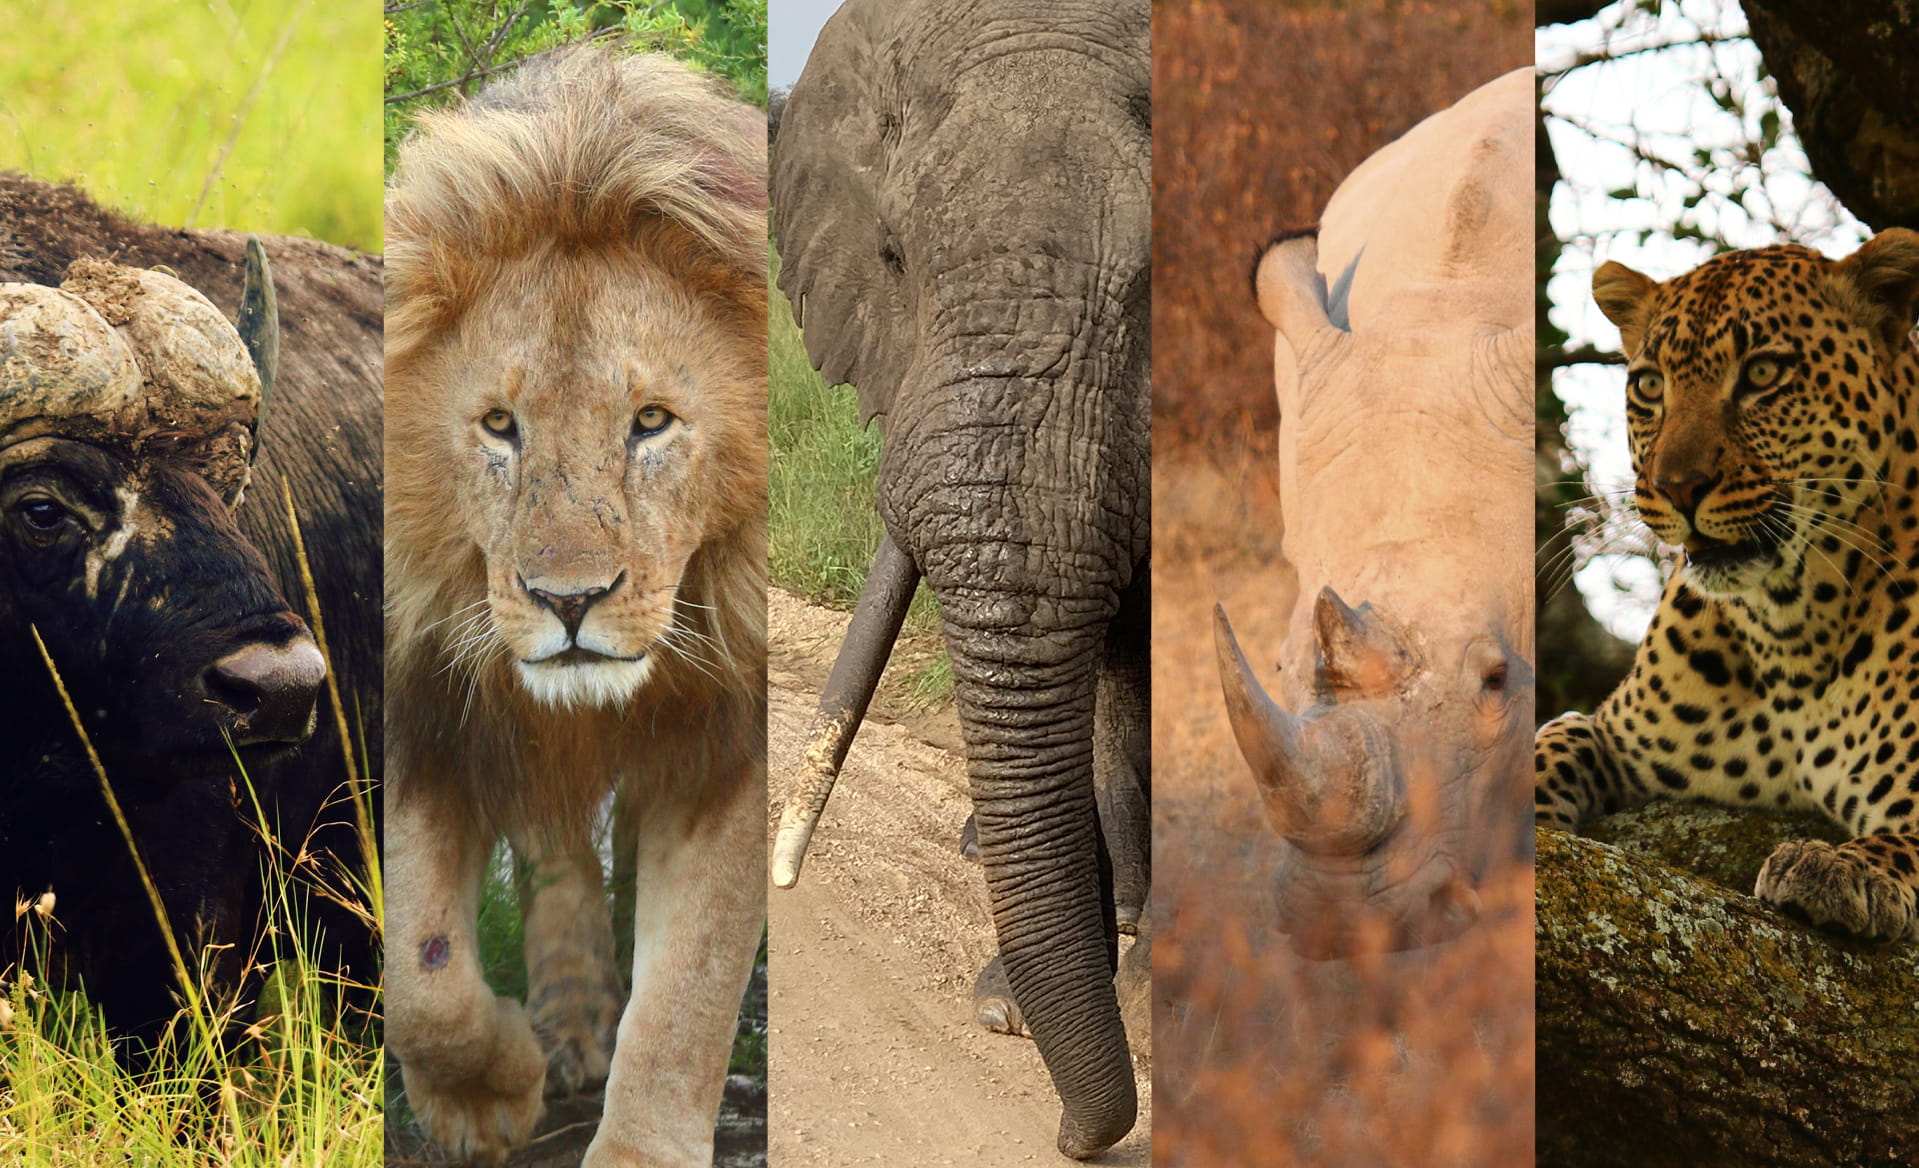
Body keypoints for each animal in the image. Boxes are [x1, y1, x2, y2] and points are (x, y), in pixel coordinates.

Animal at [383, 47, 767, 1167]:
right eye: (498, 425)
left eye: (652, 422)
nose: (568, 601)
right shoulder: (423, 696)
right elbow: (417, 970)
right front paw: (488, 1091)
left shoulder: (735, 745)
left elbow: (691, 988)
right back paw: (568, 1017)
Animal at [1535, 229, 1919, 944]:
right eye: (1650, 385)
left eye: (1763, 374)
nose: (1678, 486)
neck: (1790, 630)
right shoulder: (1614, 735)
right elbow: (1553, 741)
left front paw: (1846, 867)